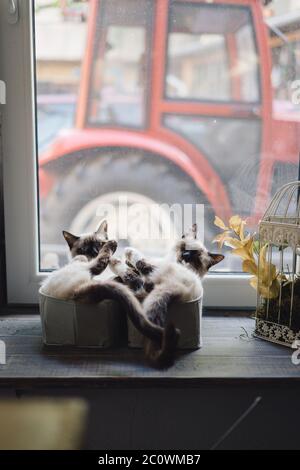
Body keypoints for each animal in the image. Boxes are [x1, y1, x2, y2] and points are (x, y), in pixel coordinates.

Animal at [40, 220, 176, 368]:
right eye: (84, 248)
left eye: (98, 244)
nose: (94, 252)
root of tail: (76, 292)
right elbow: (116, 266)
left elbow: (123, 268)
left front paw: (128, 268)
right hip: (81, 261)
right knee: (99, 264)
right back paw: (114, 248)